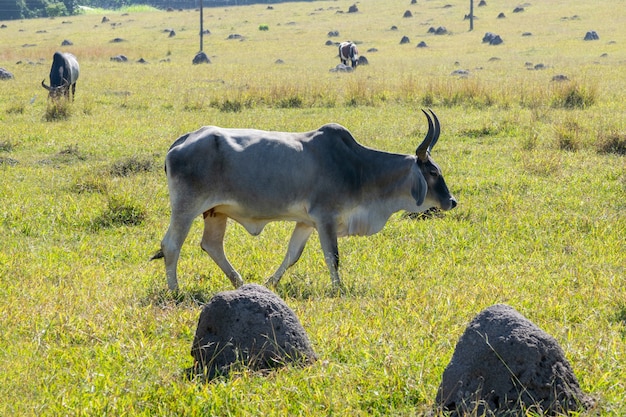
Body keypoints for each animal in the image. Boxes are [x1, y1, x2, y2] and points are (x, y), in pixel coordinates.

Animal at [151, 109, 454, 290]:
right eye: (433, 172)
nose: (452, 201)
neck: (358, 168)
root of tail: (184, 140)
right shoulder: (326, 218)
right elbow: (333, 257)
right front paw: (338, 289)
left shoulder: (307, 223)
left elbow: (292, 255)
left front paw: (270, 282)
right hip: (186, 209)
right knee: (172, 245)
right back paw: (175, 290)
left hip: (216, 212)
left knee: (212, 246)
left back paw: (239, 283)